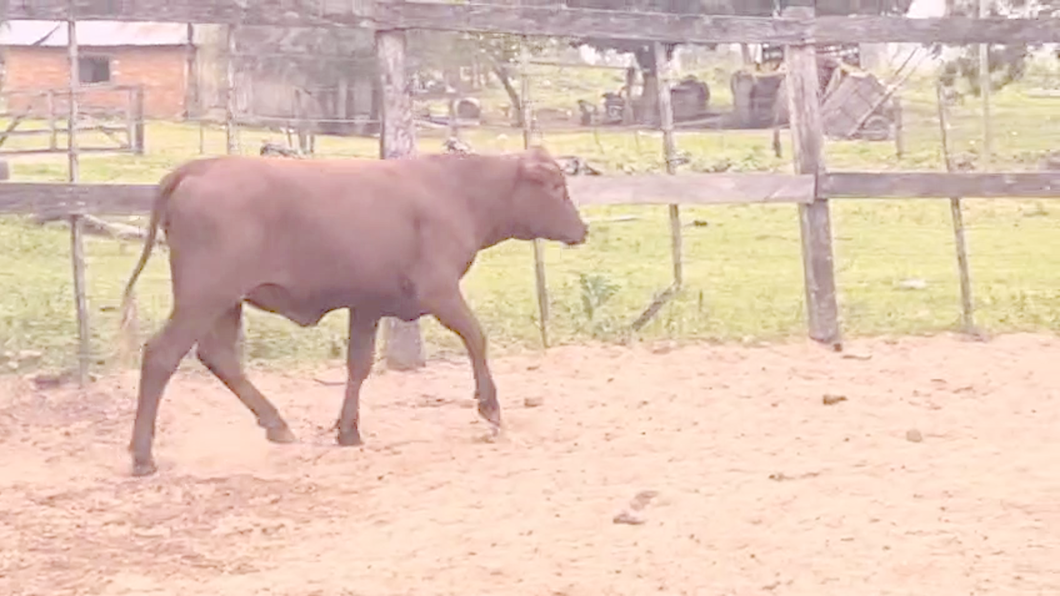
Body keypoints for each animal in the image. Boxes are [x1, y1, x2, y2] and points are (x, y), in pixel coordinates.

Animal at [120, 146, 593, 475]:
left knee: (219, 357)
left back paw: (277, 425)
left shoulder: (366, 304)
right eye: (556, 188)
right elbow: (476, 336)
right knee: (162, 355)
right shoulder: (439, 290)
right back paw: (142, 457)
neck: (457, 192)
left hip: (225, 302)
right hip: (205, 295)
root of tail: (201, 166)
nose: (582, 229)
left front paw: (348, 430)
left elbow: (358, 365)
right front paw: (490, 407)